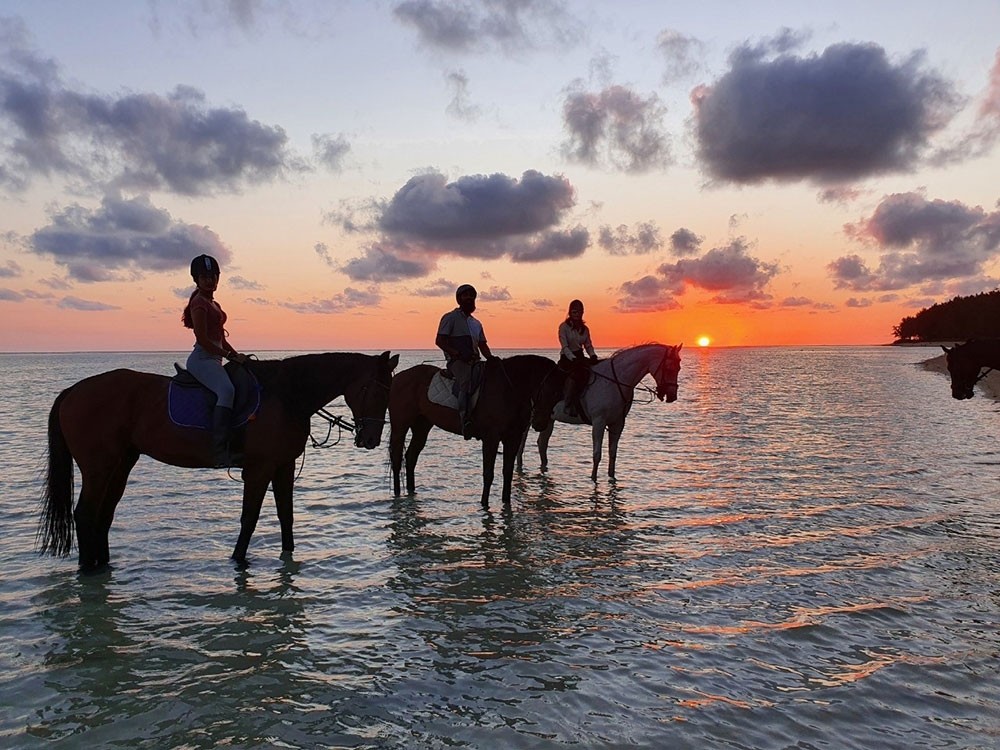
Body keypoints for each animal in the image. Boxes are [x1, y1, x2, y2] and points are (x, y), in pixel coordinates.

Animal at [38, 351, 399, 572]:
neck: (286, 395)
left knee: (103, 515)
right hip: (98, 468)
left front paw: (288, 557)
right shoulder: (258, 470)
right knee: (85, 514)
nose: (371, 439)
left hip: (120, 465)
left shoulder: (283, 467)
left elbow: (286, 518)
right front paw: (238, 561)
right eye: (376, 391)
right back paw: (89, 573)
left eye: (389, 392)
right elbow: (249, 519)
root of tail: (73, 391)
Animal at [388, 354, 564, 508]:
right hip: (400, 426)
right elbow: (488, 474)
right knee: (397, 458)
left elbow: (508, 472)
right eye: (551, 391)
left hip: (422, 425)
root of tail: (397, 378)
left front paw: (506, 503)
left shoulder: (513, 439)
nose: (540, 424)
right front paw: (484, 504)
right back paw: (397, 494)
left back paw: (411, 492)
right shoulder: (491, 438)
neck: (509, 389)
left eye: (560, 394)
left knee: (411, 457)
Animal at [518, 343, 682, 481]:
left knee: (542, 443)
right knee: (522, 441)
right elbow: (597, 454)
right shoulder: (599, 422)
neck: (615, 381)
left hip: (548, 418)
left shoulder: (618, 423)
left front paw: (612, 477)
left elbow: (613, 453)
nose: (672, 396)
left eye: (679, 368)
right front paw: (593, 478)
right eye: (669, 367)